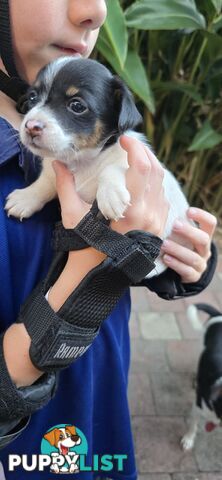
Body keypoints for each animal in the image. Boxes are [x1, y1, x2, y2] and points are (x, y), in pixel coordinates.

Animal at [6, 55, 192, 278]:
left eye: (77, 106)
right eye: (33, 98)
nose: (30, 126)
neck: (81, 162)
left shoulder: (127, 157)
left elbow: (113, 167)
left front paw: (111, 194)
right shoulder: (54, 170)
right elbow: (45, 184)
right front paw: (26, 198)